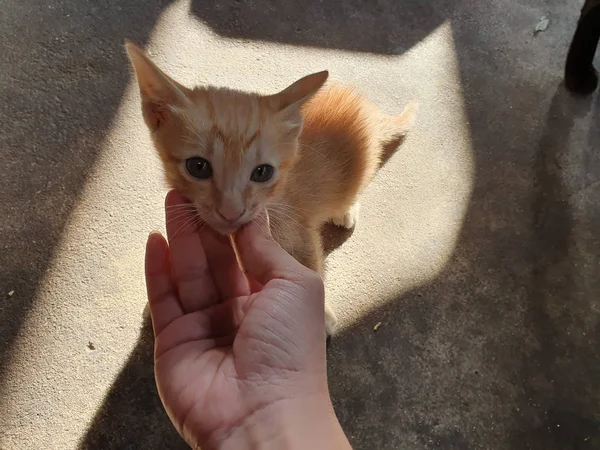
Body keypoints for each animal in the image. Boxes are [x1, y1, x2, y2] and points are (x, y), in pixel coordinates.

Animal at [125, 42, 418, 336]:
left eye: (262, 172)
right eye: (198, 167)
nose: (231, 211)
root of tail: (365, 105)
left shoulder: (298, 230)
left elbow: (310, 266)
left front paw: (319, 315)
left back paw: (345, 211)